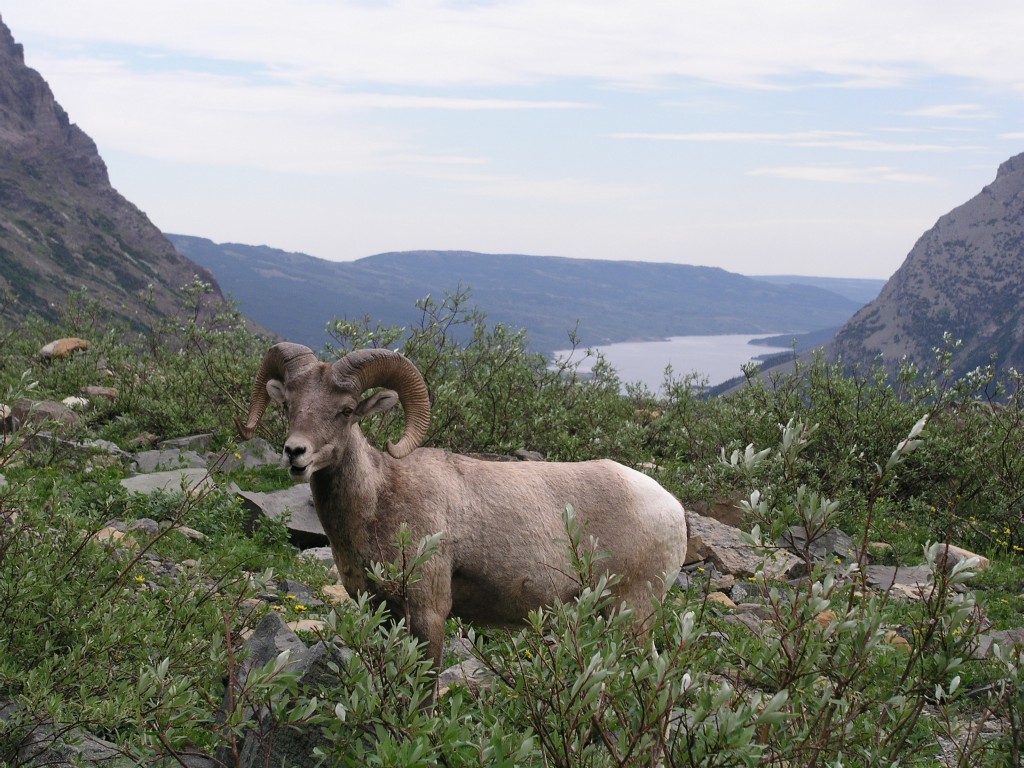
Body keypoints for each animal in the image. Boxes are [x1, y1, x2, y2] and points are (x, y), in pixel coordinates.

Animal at [237, 343, 688, 669]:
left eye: (346, 411)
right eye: (288, 405)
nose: (295, 453)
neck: (379, 500)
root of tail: (672, 508)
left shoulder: (428, 612)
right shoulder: (383, 611)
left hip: (632, 613)